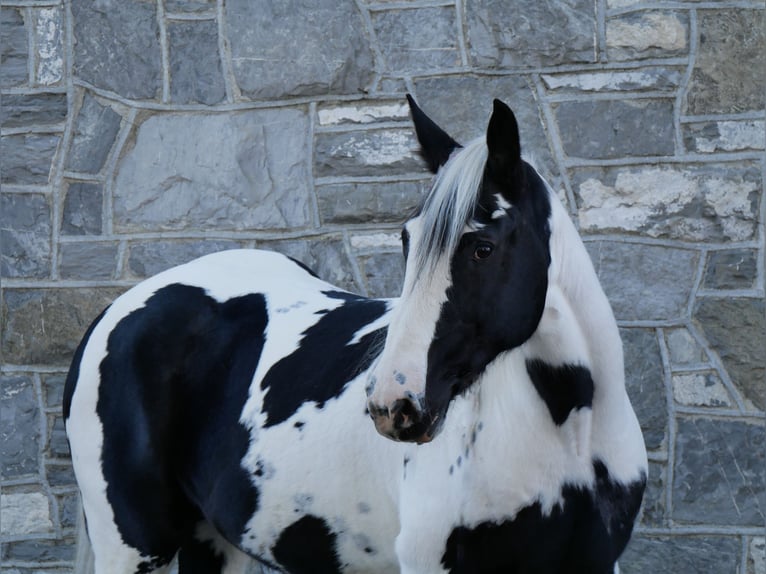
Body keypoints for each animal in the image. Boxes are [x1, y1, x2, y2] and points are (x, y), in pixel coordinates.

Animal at [64, 97, 648, 572]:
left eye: (482, 248)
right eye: (407, 240)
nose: (395, 405)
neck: (569, 430)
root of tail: (119, 309)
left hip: (215, 541)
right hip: (132, 548)